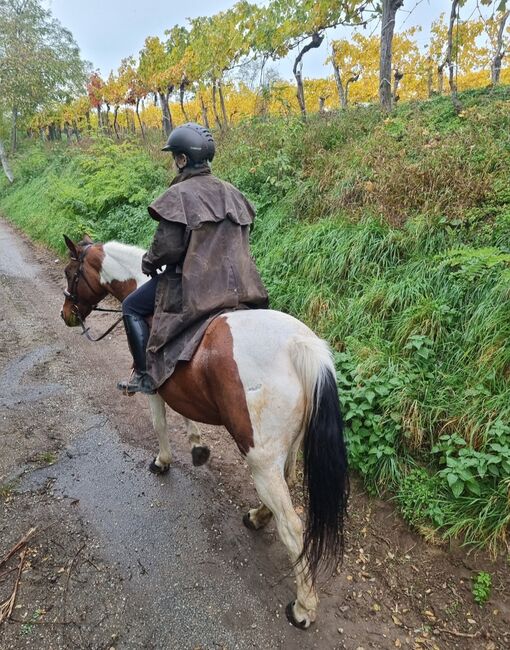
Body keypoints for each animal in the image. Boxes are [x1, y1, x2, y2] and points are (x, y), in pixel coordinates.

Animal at [58, 234, 346, 628]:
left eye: (70, 273)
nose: (66, 315)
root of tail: (300, 346)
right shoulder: (176, 385)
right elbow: (185, 418)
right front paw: (197, 447)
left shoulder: (153, 386)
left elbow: (160, 424)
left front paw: (163, 462)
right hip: (283, 452)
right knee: (282, 494)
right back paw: (258, 517)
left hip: (260, 458)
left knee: (292, 526)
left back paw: (303, 607)